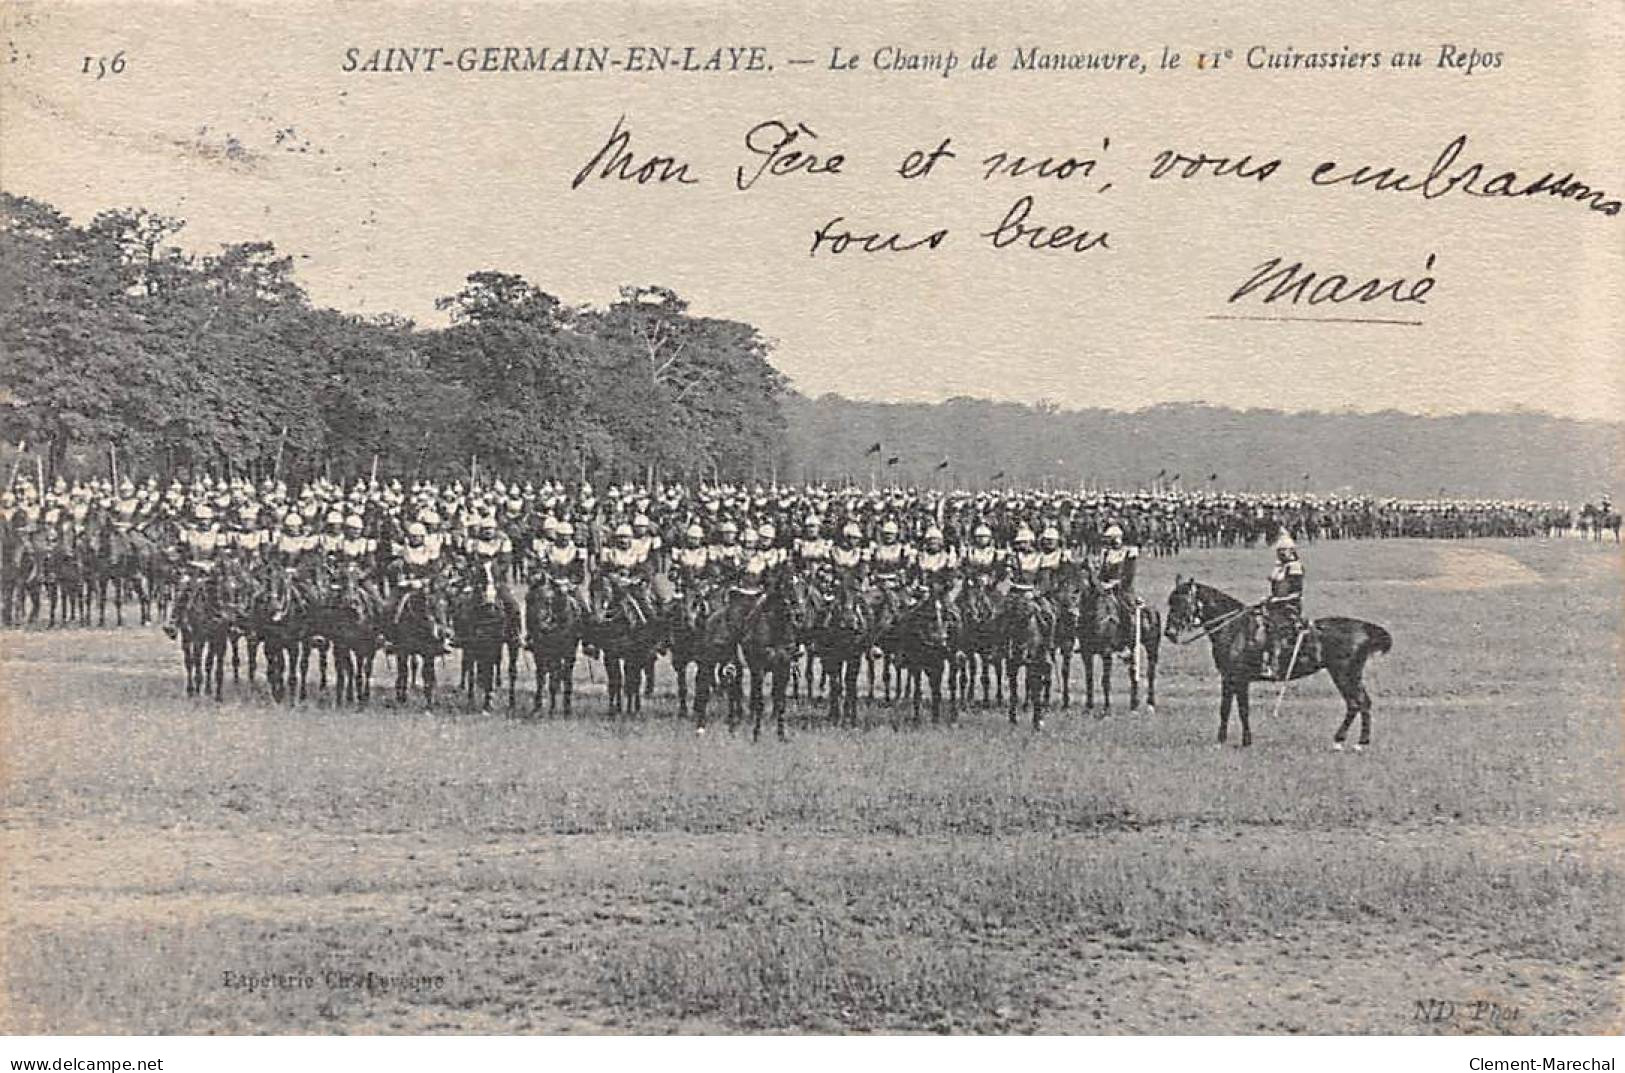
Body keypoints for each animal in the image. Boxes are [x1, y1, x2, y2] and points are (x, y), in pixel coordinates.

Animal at [1163, 578, 1391, 744]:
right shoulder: (1229, 678)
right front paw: (1223, 740)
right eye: (1170, 602)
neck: (1234, 629)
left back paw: (1353, 741)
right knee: (1360, 703)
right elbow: (1226, 709)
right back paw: (1351, 739)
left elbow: (1242, 710)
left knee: (1357, 703)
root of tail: (1364, 628)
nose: (1169, 633)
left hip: (1344, 675)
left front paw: (1243, 741)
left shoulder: (1239, 679)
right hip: (1349, 676)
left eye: (1182, 602)